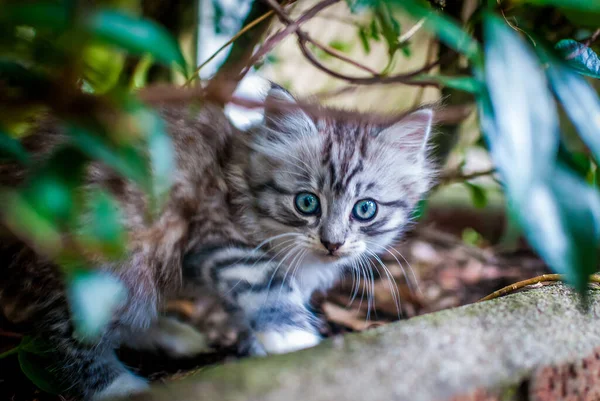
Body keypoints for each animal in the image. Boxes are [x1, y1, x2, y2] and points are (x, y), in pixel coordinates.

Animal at [0, 83, 434, 398]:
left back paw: (171, 336)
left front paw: (256, 347)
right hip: (107, 252)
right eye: (307, 202)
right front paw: (295, 341)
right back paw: (118, 386)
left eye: (365, 210)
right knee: (67, 331)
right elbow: (265, 282)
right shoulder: (213, 234)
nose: (333, 243)